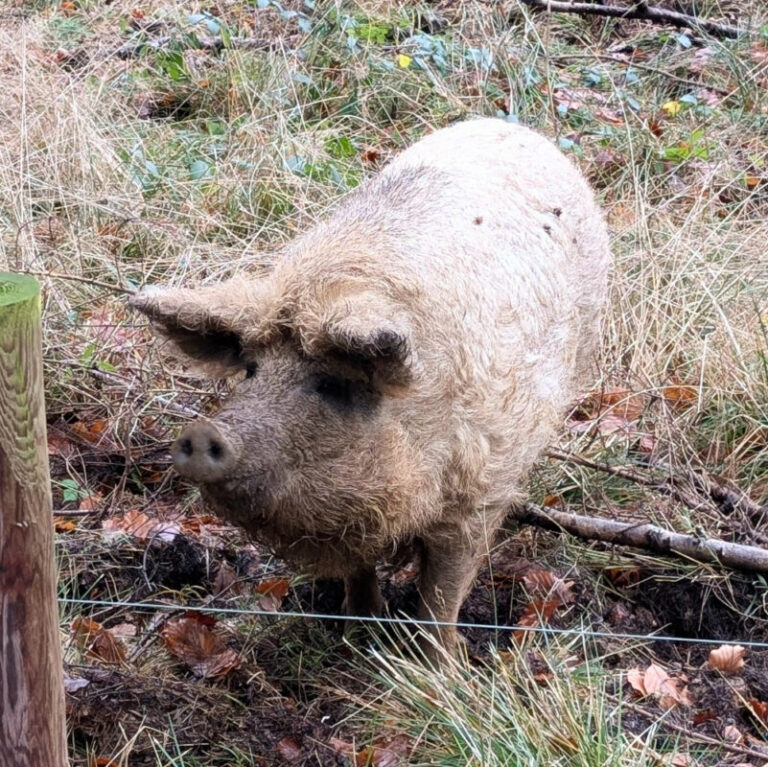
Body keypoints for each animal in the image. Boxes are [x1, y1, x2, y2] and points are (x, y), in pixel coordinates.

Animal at [132, 117, 612, 656]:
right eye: (252, 370)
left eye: (333, 384)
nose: (202, 434)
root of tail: (512, 127)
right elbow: (358, 569)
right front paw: (357, 636)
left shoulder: (482, 489)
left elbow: (443, 593)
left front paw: (436, 666)